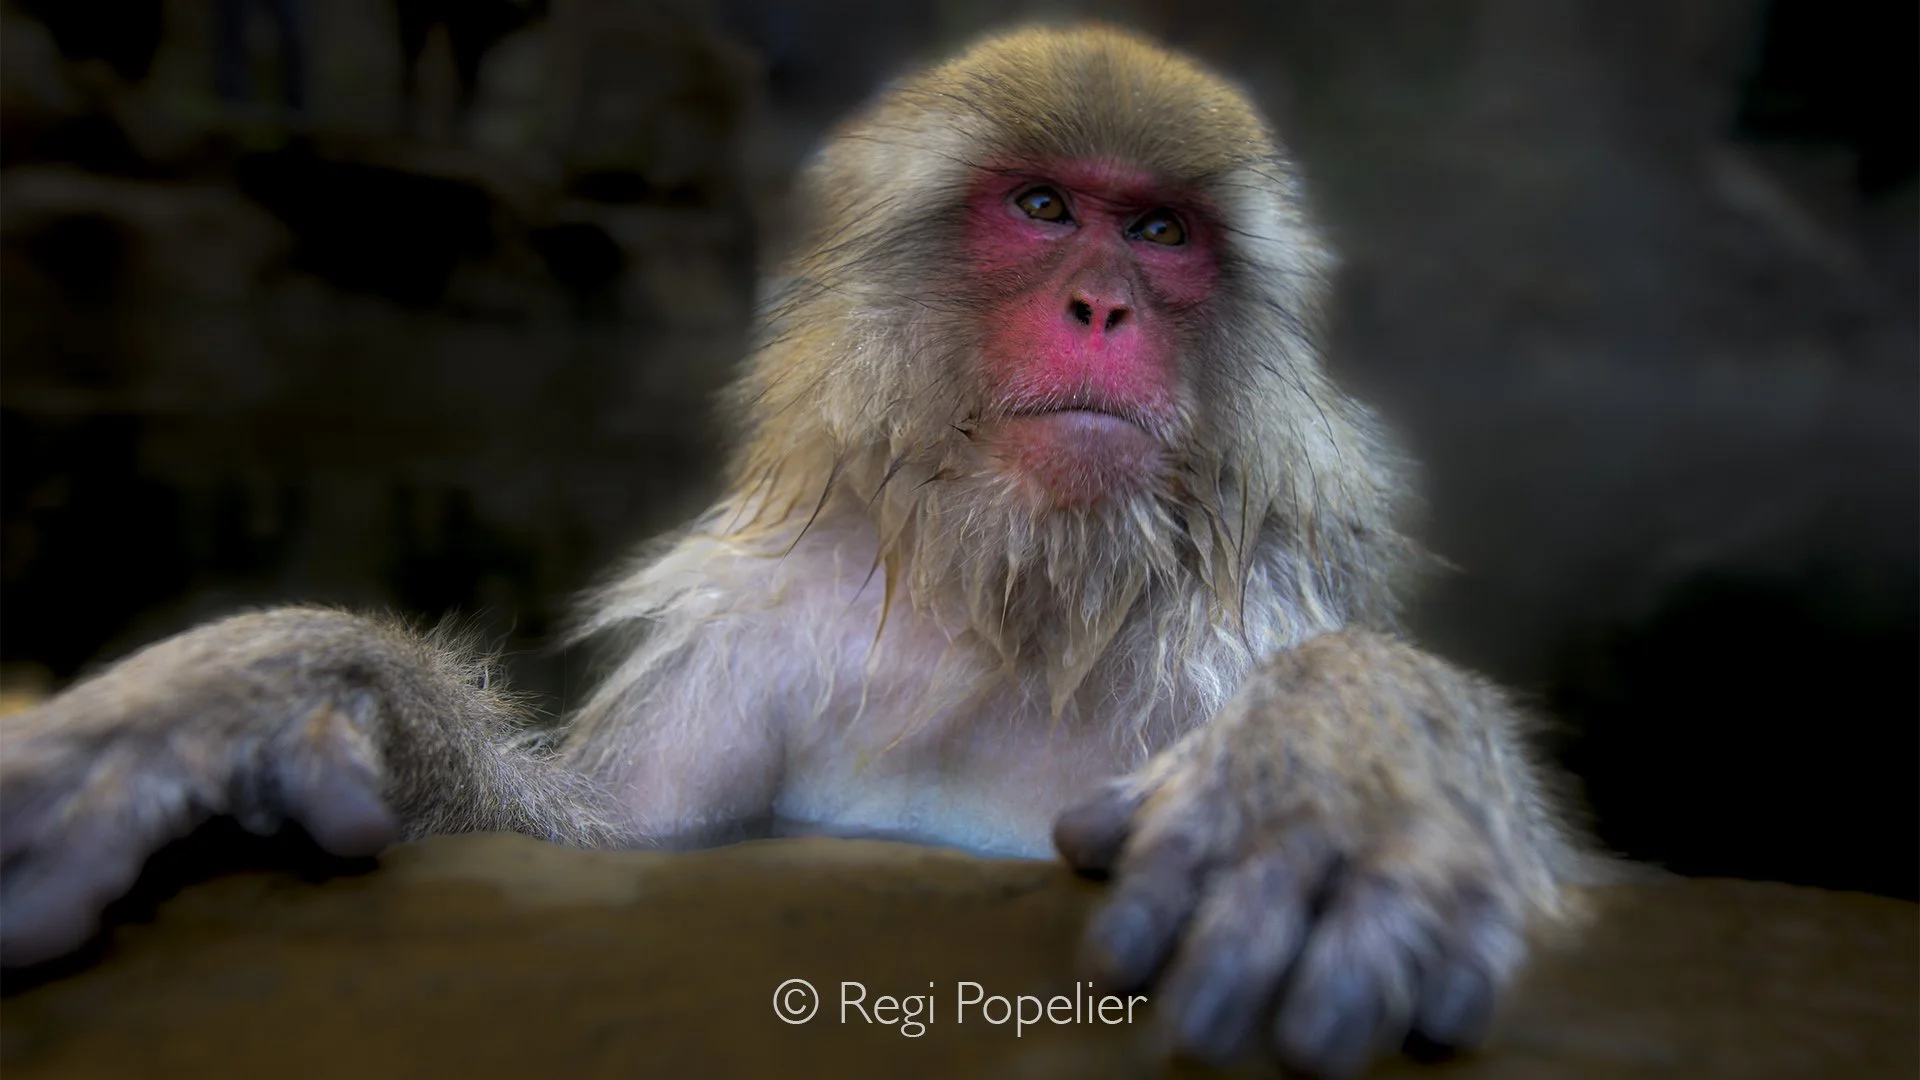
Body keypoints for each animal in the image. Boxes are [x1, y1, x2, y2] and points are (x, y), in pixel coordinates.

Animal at [0, 25, 1590, 1079]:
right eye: (1042, 208)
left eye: (1159, 230)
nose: (1104, 306)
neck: (1019, 597)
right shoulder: (751, 645)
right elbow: (595, 849)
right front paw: (261, 695)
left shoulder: (1234, 624)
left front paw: (1344, 764)